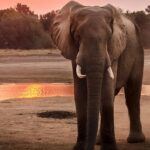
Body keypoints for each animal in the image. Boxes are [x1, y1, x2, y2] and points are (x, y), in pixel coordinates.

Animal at [49, 0, 145, 149]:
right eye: (77, 36)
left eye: (109, 37)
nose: (89, 146)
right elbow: (80, 93)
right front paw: (79, 147)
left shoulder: (113, 49)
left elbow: (106, 92)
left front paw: (110, 148)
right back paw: (99, 141)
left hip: (138, 51)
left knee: (132, 94)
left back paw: (135, 140)